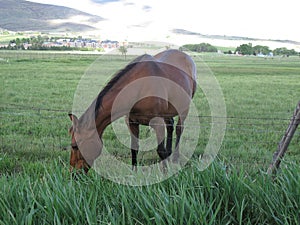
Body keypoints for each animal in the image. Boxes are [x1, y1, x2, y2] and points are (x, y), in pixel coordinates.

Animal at [68, 49, 197, 172]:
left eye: (74, 146)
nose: (73, 173)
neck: (139, 88)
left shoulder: (157, 123)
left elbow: (161, 150)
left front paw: (165, 172)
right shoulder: (131, 122)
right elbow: (134, 148)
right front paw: (134, 173)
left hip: (184, 108)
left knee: (179, 129)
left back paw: (175, 158)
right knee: (170, 126)